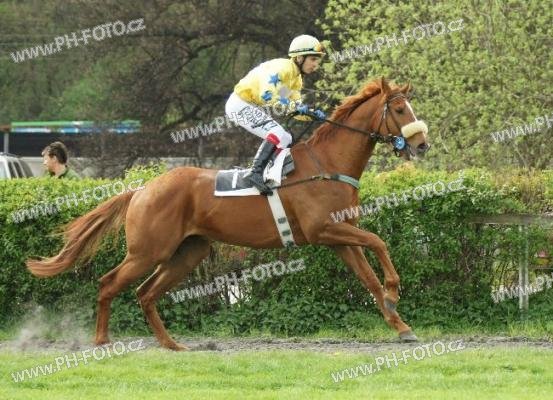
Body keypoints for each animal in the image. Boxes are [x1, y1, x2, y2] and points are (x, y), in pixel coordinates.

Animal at [27, 77, 430, 351]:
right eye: (399, 110)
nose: (421, 144)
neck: (328, 164)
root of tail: (142, 189)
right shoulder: (323, 231)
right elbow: (379, 243)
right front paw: (395, 291)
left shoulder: (339, 237)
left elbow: (369, 277)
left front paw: (400, 323)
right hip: (148, 251)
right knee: (110, 283)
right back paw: (102, 340)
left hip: (187, 253)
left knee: (145, 293)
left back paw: (172, 344)